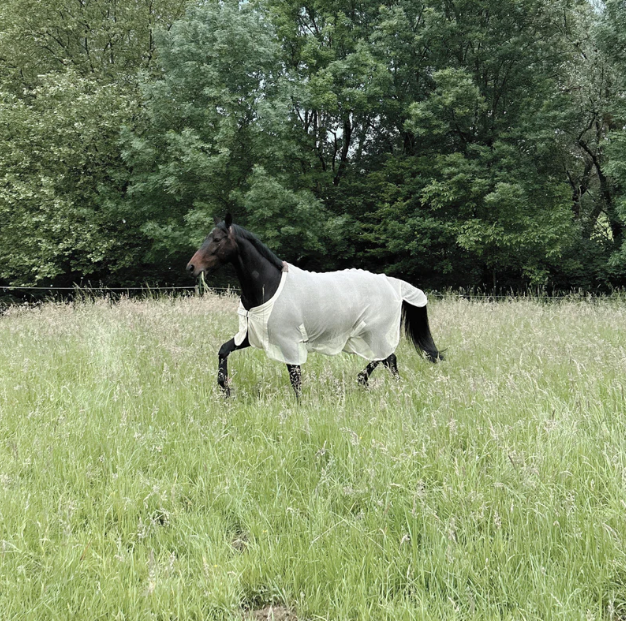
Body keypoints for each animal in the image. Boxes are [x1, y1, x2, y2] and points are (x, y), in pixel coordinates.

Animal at [183, 214, 442, 398]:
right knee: (388, 359)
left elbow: (295, 377)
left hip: (373, 332)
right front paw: (226, 390)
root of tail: (392, 283)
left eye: (217, 239)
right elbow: (223, 350)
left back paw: (374, 383)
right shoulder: (252, 334)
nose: (191, 267)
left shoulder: (288, 340)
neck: (269, 285)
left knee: (387, 358)